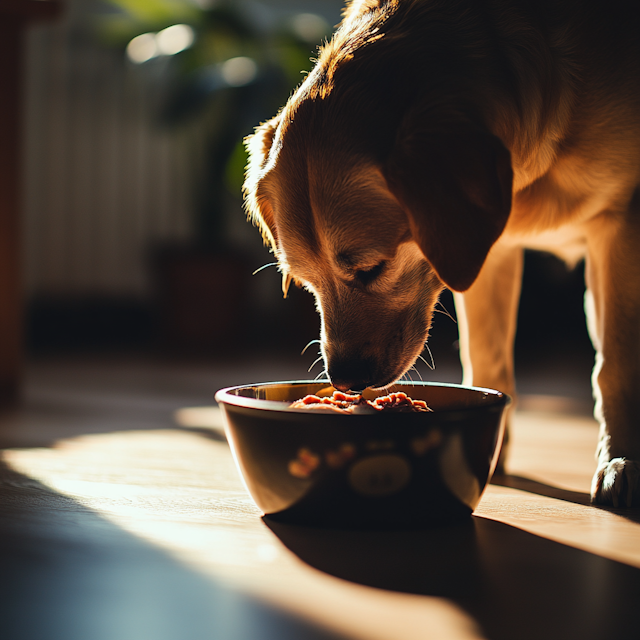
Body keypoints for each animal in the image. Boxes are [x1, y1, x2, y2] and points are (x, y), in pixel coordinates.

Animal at [242, 1, 640, 510]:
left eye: (371, 268)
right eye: (305, 280)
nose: (345, 382)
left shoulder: (621, 225)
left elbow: (616, 366)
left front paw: (620, 459)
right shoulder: (492, 251)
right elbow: (488, 357)